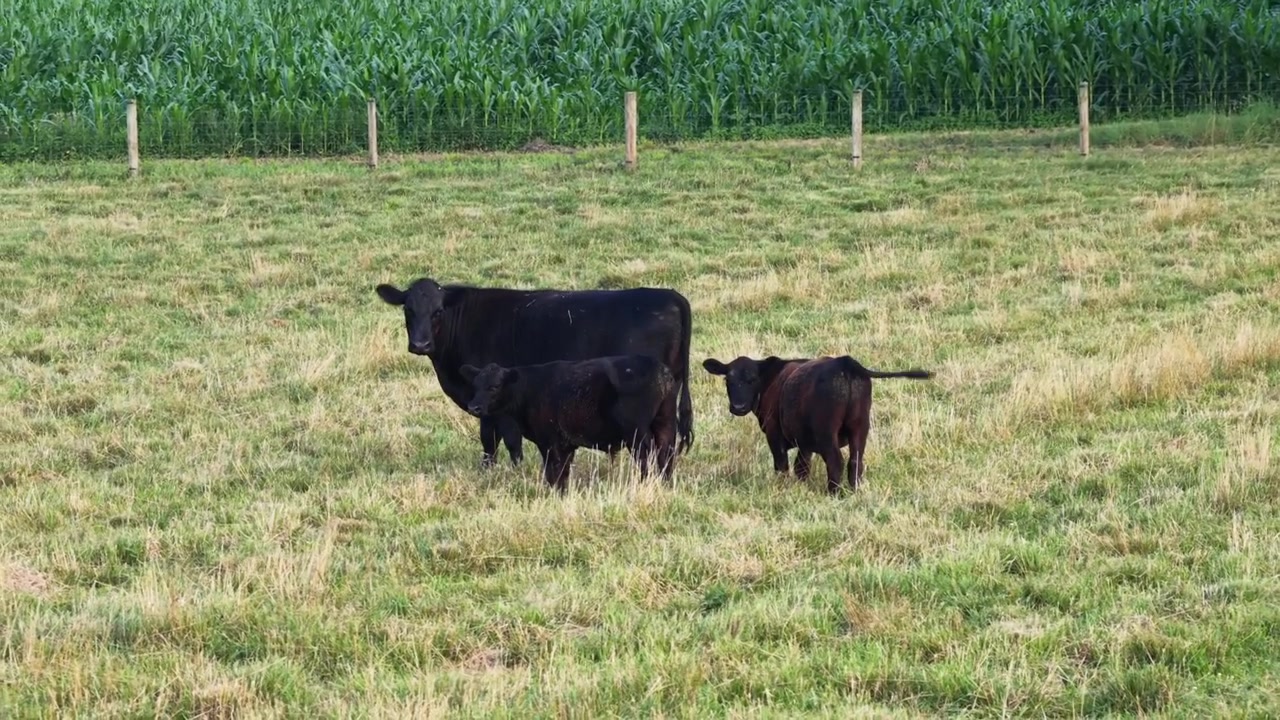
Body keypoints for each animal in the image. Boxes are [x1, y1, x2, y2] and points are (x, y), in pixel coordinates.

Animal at [374, 277, 694, 468]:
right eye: (408, 309)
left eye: (438, 311)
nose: (420, 344)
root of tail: (670, 296)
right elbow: (490, 438)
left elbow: (502, 438)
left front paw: (511, 470)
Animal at [459, 355, 680, 492]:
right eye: (475, 385)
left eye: (494, 386)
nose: (474, 407)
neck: (529, 388)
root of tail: (661, 371)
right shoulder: (566, 444)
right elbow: (563, 472)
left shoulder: (549, 441)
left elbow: (553, 471)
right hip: (665, 423)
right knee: (665, 454)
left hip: (637, 433)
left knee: (647, 457)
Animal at [702, 354, 933, 493]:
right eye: (728, 380)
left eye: (752, 380)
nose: (738, 406)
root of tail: (846, 362)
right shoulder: (804, 443)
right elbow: (802, 467)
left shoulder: (774, 434)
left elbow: (782, 465)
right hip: (860, 426)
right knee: (855, 461)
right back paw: (854, 491)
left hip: (826, 431)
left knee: (836, 460)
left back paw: (833, 493)